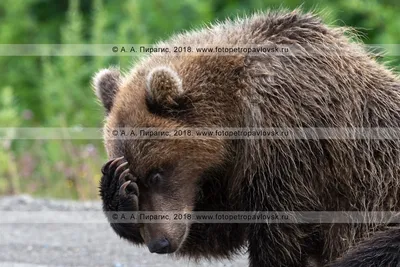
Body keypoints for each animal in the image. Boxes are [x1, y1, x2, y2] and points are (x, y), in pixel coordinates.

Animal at [92, 8, 400, 267]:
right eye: (136, 178)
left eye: (156, 174)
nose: (160, 243)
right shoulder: (227, 176)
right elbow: (217, 229)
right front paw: (118, 191)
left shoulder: (291, 150)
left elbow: (280, 233)